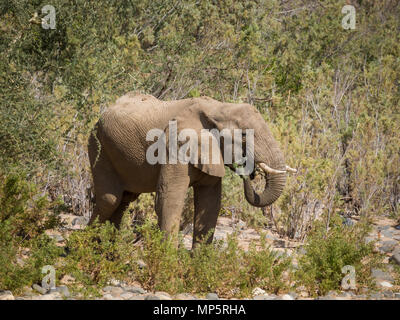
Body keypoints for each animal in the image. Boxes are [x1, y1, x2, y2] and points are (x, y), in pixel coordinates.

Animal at [88, 92, 294, 248]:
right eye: (244, 135)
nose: (249, 172)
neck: (219, 108)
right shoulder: (174, 146)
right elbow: (169, 199)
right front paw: (167, 265)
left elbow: (210, 203)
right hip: (98, 145)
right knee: (110, 199)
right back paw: (85, 247)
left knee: (124, 200)